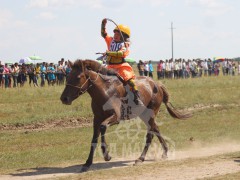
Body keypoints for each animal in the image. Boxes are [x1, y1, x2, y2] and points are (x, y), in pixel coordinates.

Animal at [60, 59, 191, 172]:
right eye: (68, 76)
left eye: (78, 77)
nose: (64, 98)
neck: (104, 91)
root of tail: (157, 84)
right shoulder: (96, 119)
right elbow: (94, 139)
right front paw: (87, 163)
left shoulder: (115, 117)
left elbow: (103, 127)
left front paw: (106, 155)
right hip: (144, 115)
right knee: (156, 129)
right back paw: (164, 152)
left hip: (150, 113)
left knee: (150, 134)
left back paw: (140, 158)